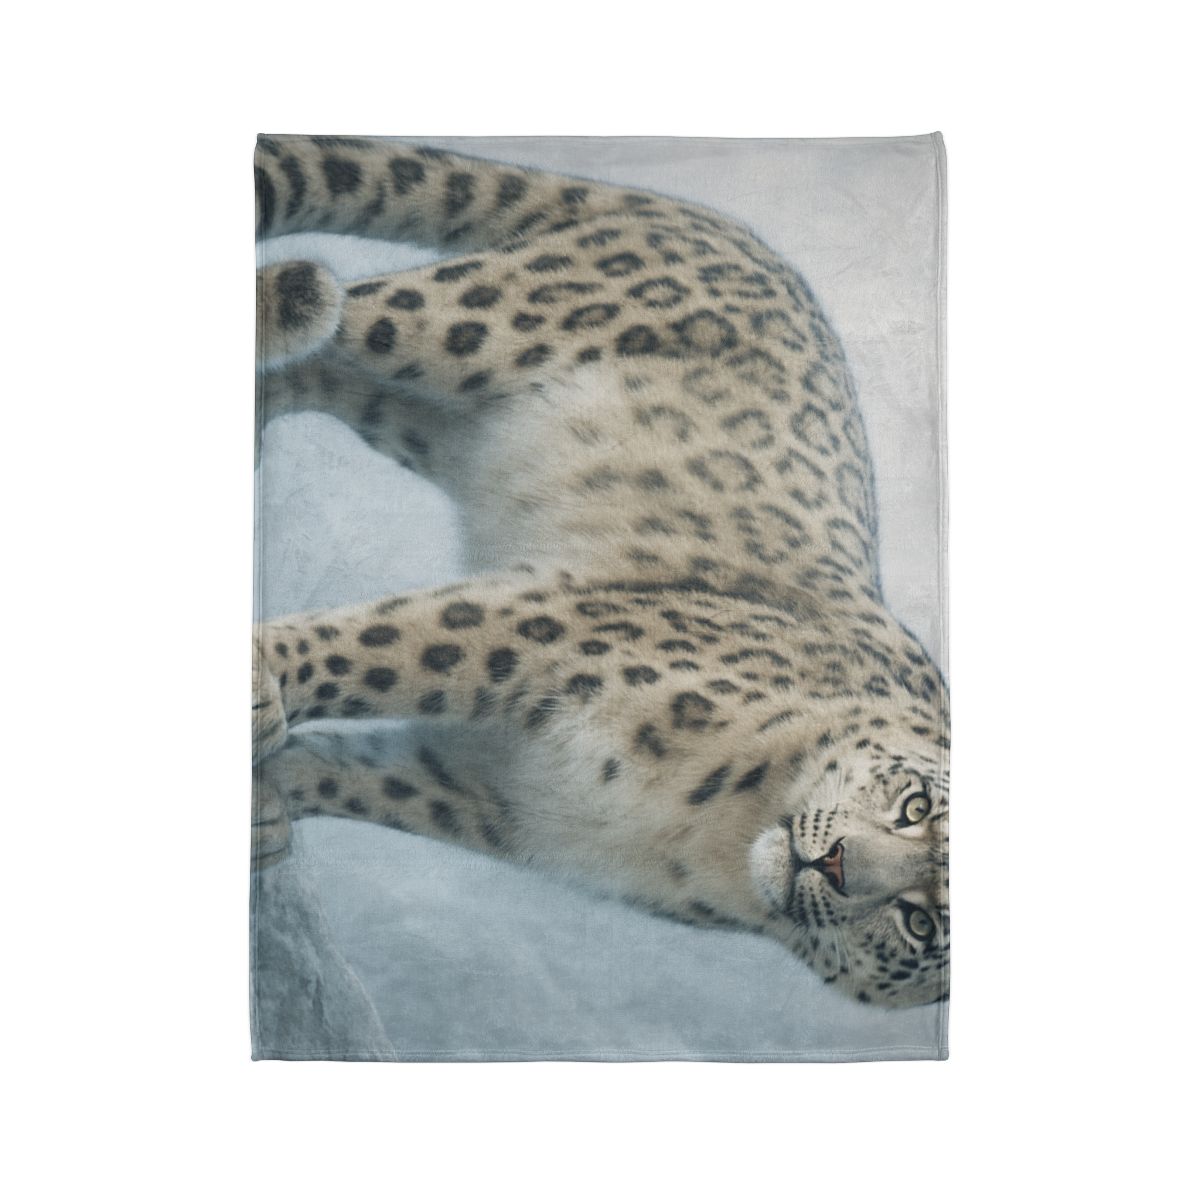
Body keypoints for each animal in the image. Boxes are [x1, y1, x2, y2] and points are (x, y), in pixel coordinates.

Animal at [252, 136, 949, 1009]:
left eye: (922, 923)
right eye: (913, 806)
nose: (836, 863)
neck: (709, 830)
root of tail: (726, 228)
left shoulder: (492, 795)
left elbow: (363, 776)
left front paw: (271, 804)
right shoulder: (552, 629)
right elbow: (381, 646)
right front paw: (256, 684)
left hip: (420, 422)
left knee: (322, 373)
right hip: (469, 319)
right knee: (344, 305)